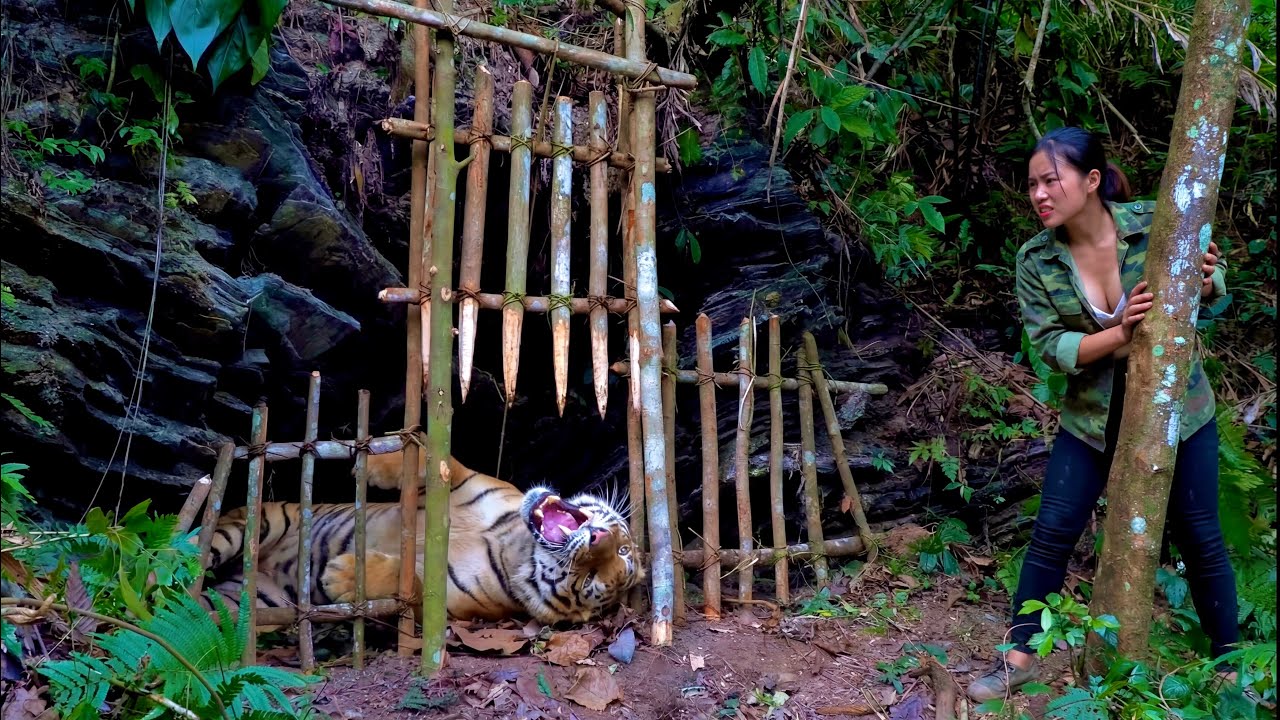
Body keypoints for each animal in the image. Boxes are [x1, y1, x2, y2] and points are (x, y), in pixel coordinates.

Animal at [198, 453, 643, 627]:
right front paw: (376, 462)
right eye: (622, 549)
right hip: (252, 526)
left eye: (591, 581)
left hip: (245, 599)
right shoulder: (464, 479)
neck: (517, 546)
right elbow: (437, 455)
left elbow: (409, 581)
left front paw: (343, 576)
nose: (599, 536)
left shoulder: (447, 599)